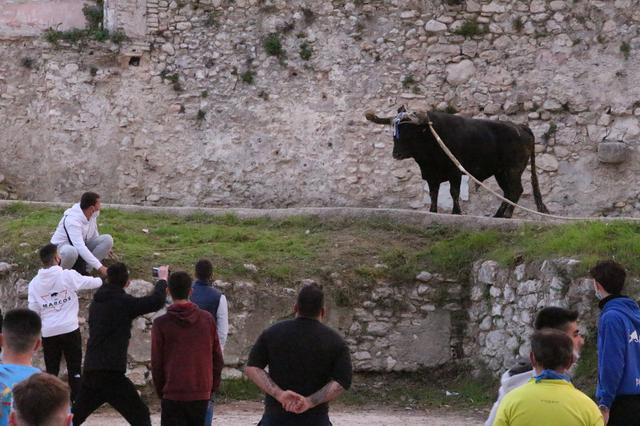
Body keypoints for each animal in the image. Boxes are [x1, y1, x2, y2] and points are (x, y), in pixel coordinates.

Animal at [364, 108, 552, 218]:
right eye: (395, 133)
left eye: (410, 132)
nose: (396, 154)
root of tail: (520, 127)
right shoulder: (431, 174)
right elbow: (433, 193)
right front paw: (433, 211)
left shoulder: (454, 172)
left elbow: (454, 192)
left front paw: (456, 212)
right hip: (500, 172)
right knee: (508, 192)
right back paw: (498, 215)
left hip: (513, 169)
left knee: (515, 190)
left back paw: (506, 215)